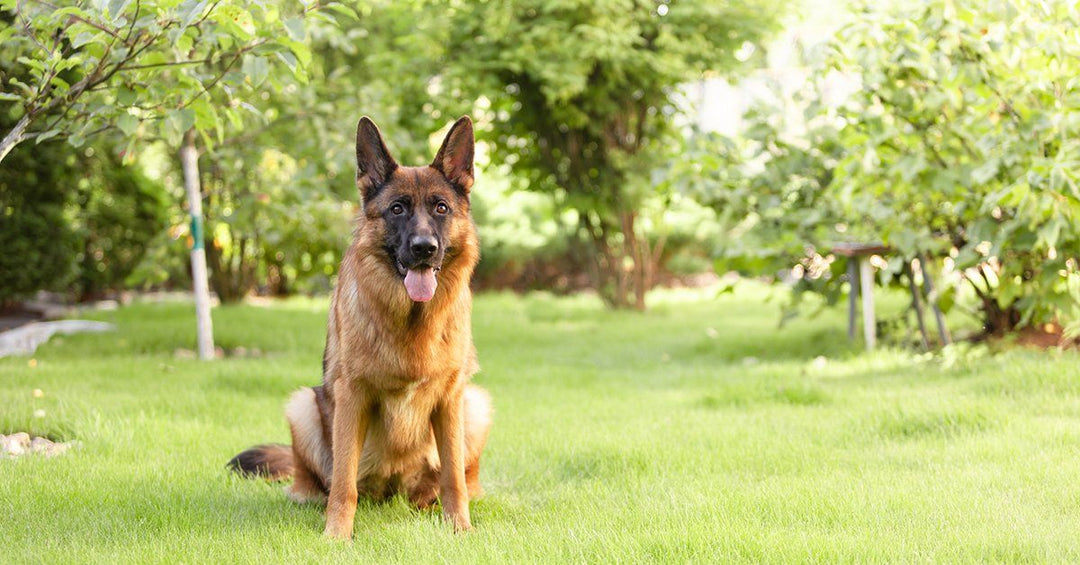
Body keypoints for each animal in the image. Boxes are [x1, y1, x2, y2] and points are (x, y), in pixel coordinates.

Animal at [234, 116, 494, 540]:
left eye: (441, 208)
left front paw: (460, 529)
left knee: (458, 479)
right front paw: (336, 535)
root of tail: (395, 491)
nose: (424, 248)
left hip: (476, 404)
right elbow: (343, 483)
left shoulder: (450, 398)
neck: (411, 322)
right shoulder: (351, 397)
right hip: (303, 406)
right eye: (397, 209)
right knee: (323, 481)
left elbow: (453, 478)